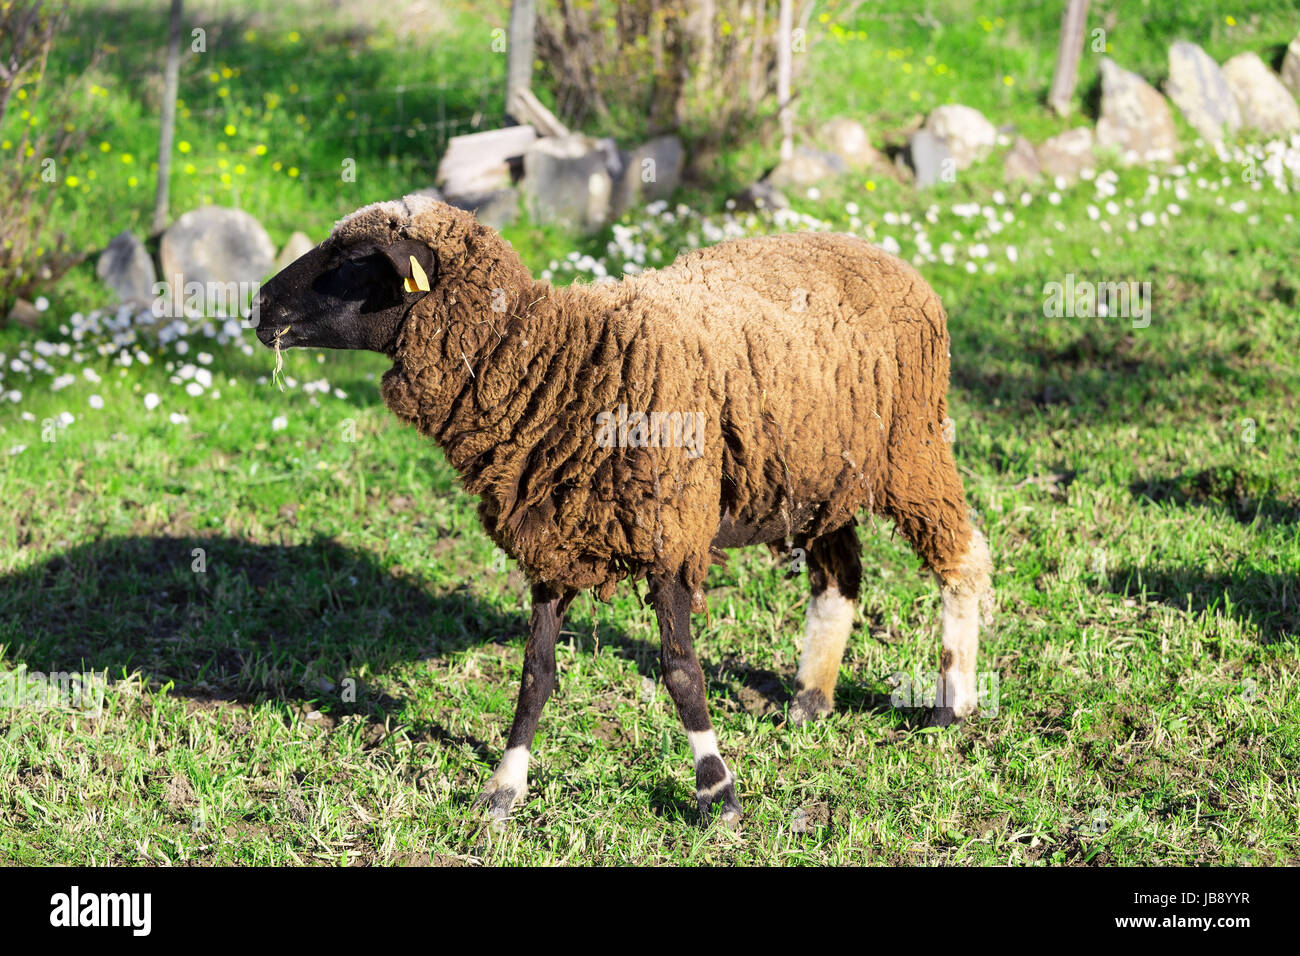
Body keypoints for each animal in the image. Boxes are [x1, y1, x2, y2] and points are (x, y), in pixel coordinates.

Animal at [252, 193, 993, 825]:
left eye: (355, 262)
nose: (258, 303)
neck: (563, 366)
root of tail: (886, 256)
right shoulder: (553, 540)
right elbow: (534, 675)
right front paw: (502, 791)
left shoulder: (668, 534)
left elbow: (682, 673)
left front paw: (717, 791)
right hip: (818, 478)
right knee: (839, 577)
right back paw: (811, 701)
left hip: (913, 447)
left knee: (963, 557)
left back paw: (952, 705)